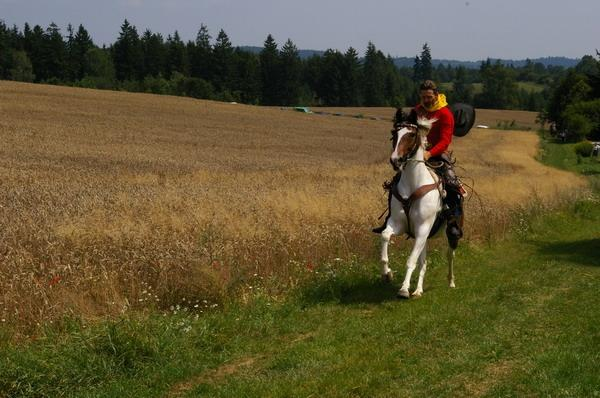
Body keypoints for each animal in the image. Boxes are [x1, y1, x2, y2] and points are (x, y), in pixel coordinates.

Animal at [378, 118, 458, 298]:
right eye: (394, 134)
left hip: (449, 234)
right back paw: (418, 290)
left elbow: (411, 260)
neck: (413, 184)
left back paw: (451, 282)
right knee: (424, 261)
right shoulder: (399, 225)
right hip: (424, 237)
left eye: (412, 135)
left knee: (450, 255)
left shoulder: (423, 228)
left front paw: (403, 289)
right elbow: (385, 236)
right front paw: (387, 273)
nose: (395, 160)